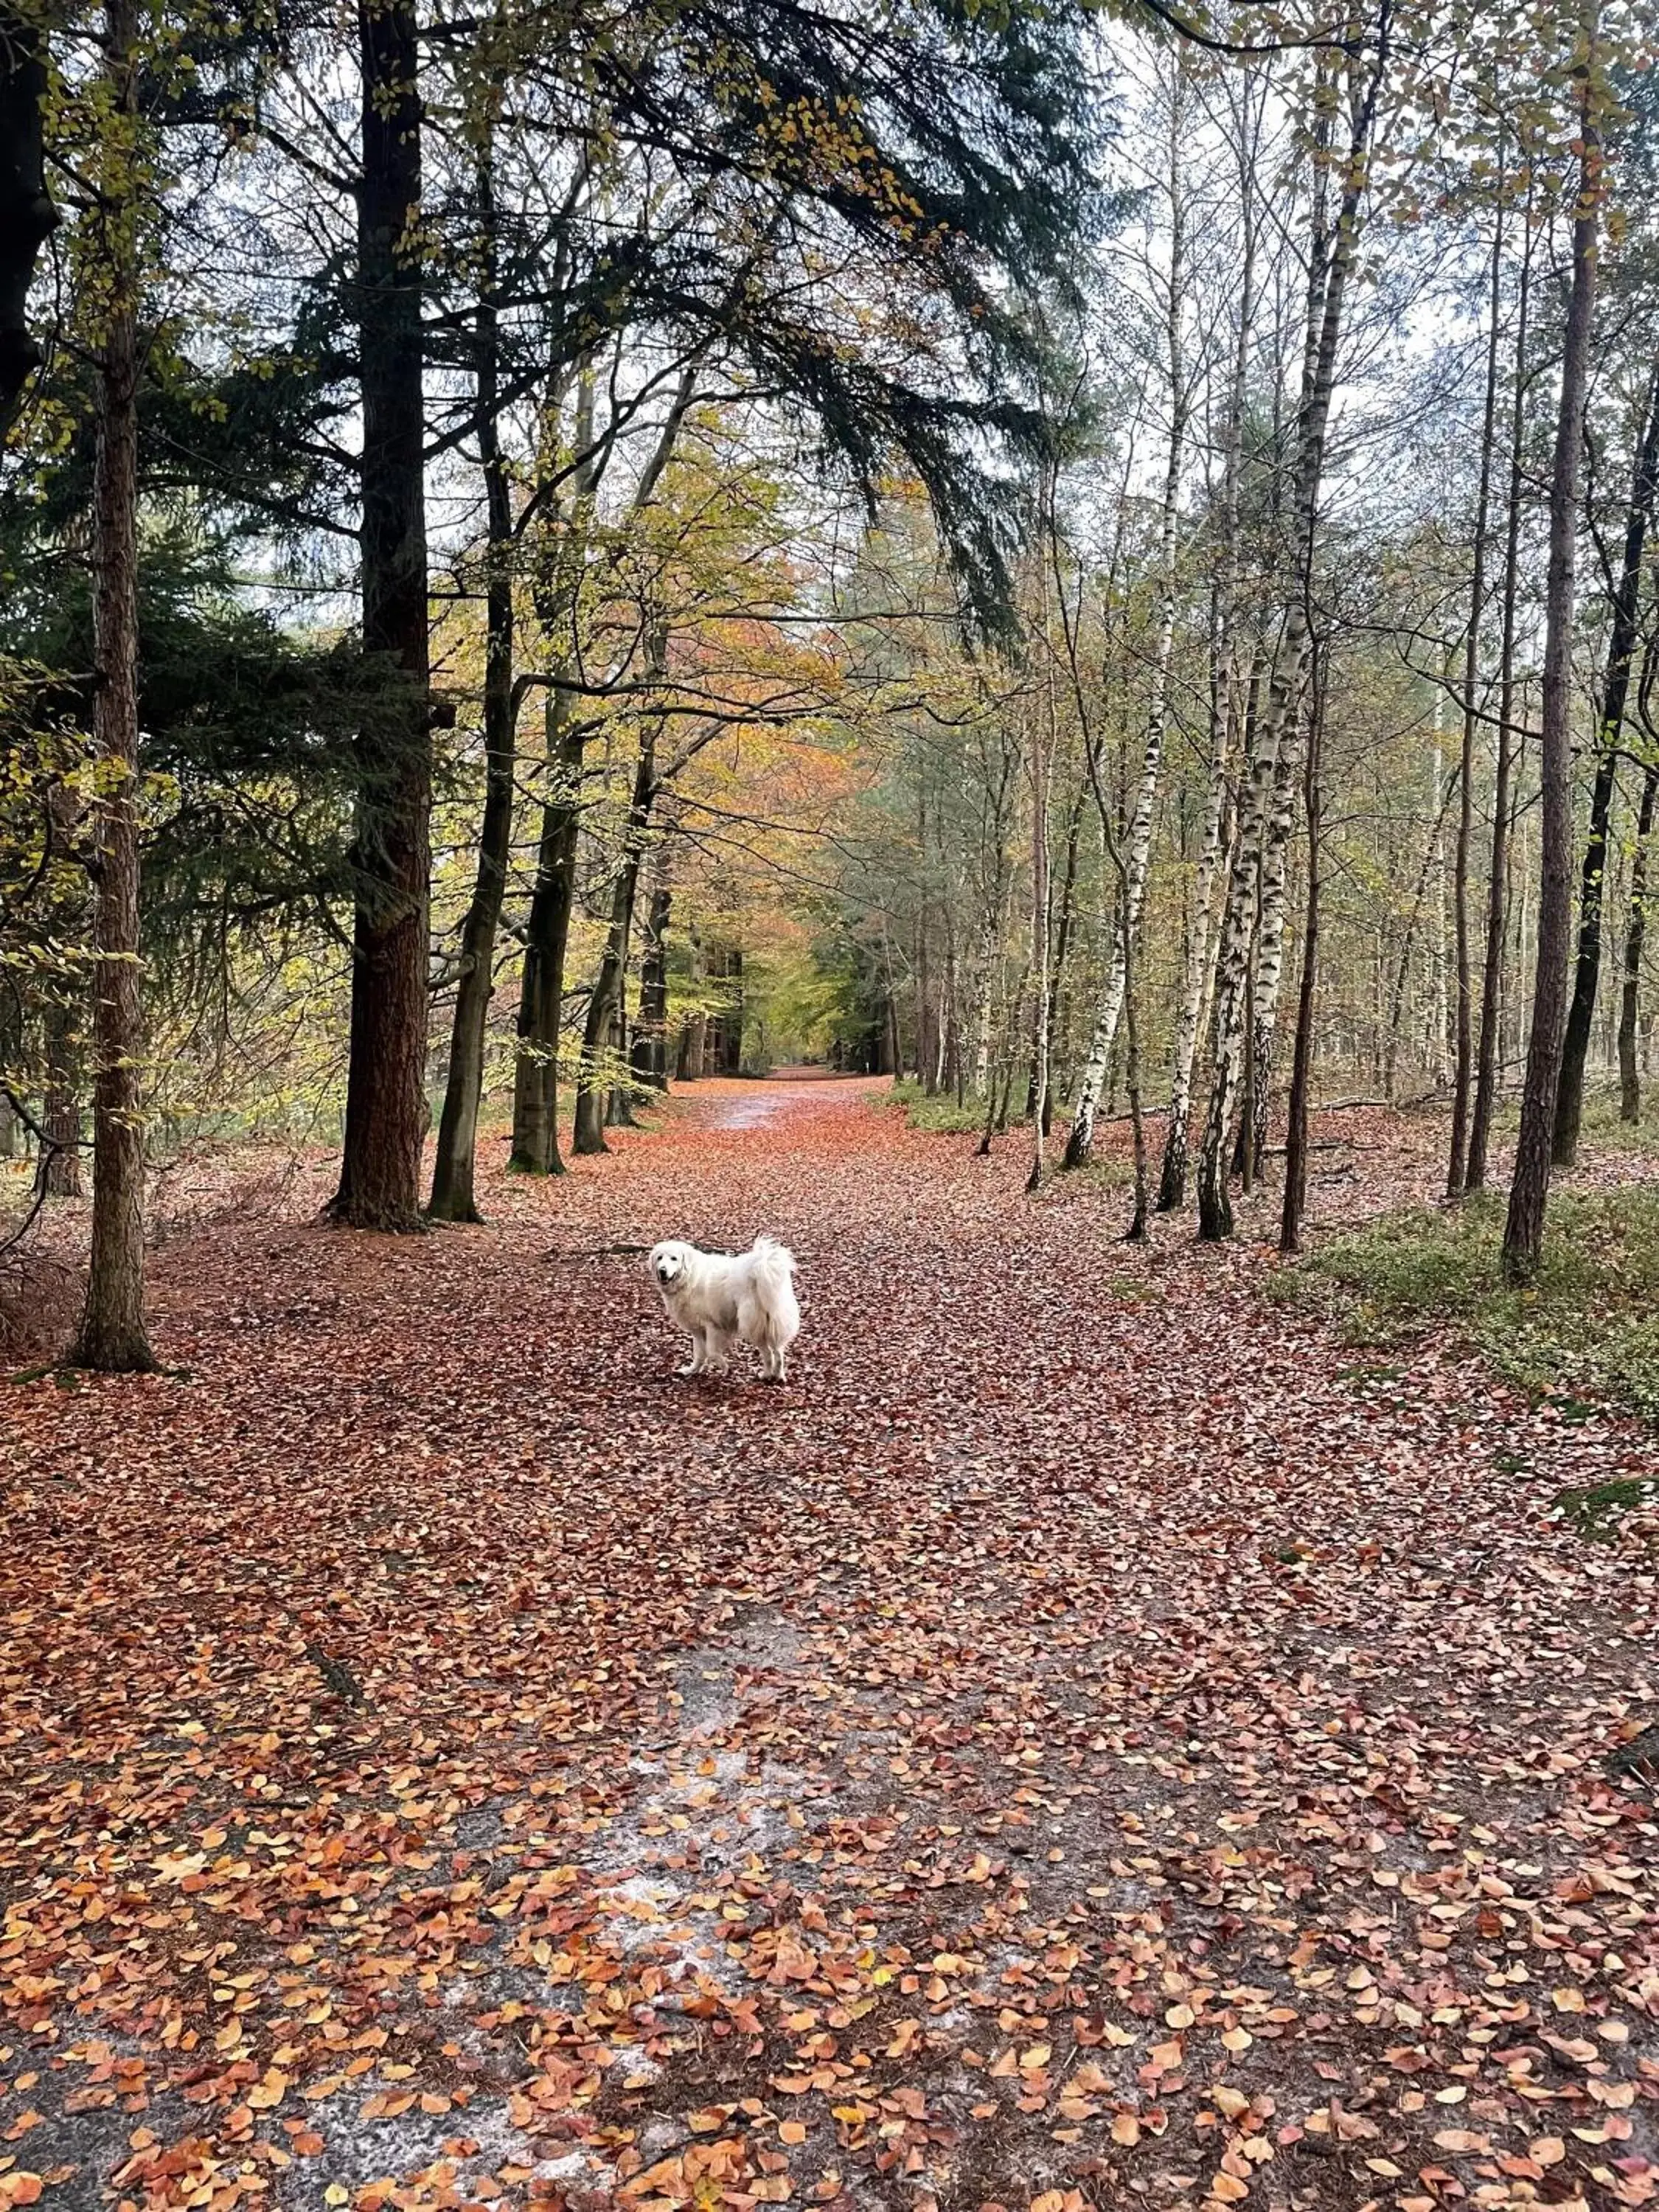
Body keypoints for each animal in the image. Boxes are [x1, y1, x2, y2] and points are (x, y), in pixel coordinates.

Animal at [655, 1239, 801, 1371]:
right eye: (659, 1258)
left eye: (674, 1258)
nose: (662, 1270)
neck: (689, 1277)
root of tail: (762, 1266)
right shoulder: (698, 1329)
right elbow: (699, 1353)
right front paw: (693, 1370)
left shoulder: (711, 1325)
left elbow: (711, 1351)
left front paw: (724, 1366)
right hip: (772, 1323)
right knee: (778, 1352)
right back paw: (778, 1376)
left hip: (751, 1324)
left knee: (768, 1353)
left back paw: (767, 1375)